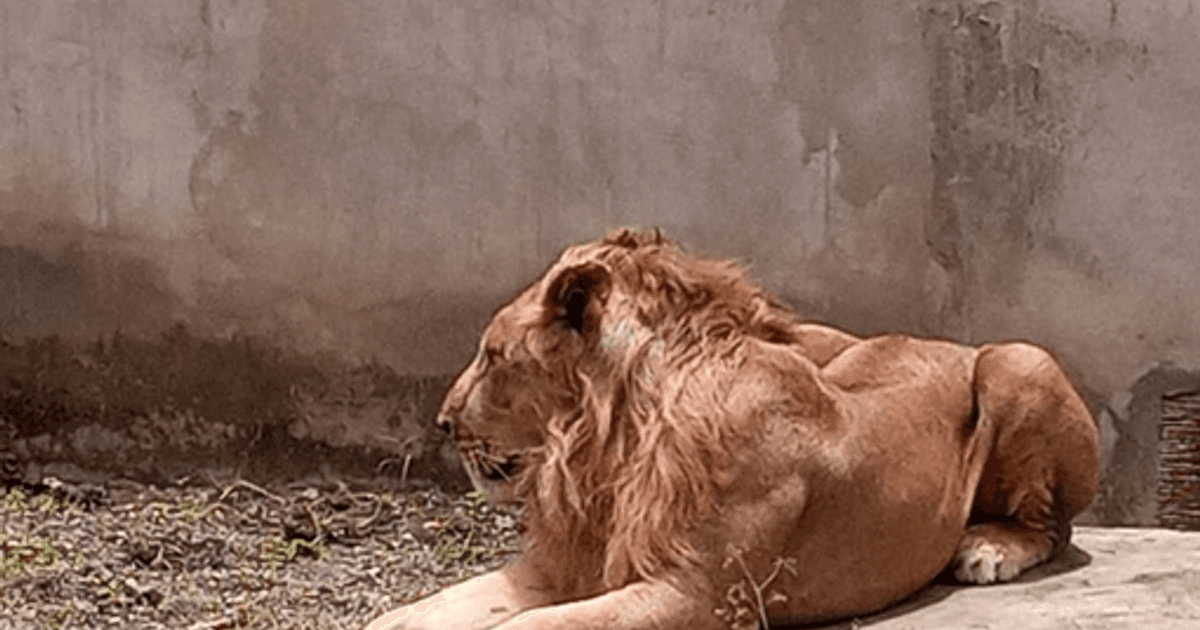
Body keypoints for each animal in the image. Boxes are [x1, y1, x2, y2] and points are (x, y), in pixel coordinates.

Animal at [366, 229, 1100, 630]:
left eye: (492, 356)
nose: (443, 421)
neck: (604, 454)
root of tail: (944, 341)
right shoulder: (562, 566)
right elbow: (427, 609)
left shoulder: (694, 596)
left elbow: (536, 625)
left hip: (1020, 360)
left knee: (1054, 526)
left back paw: (990, 548)